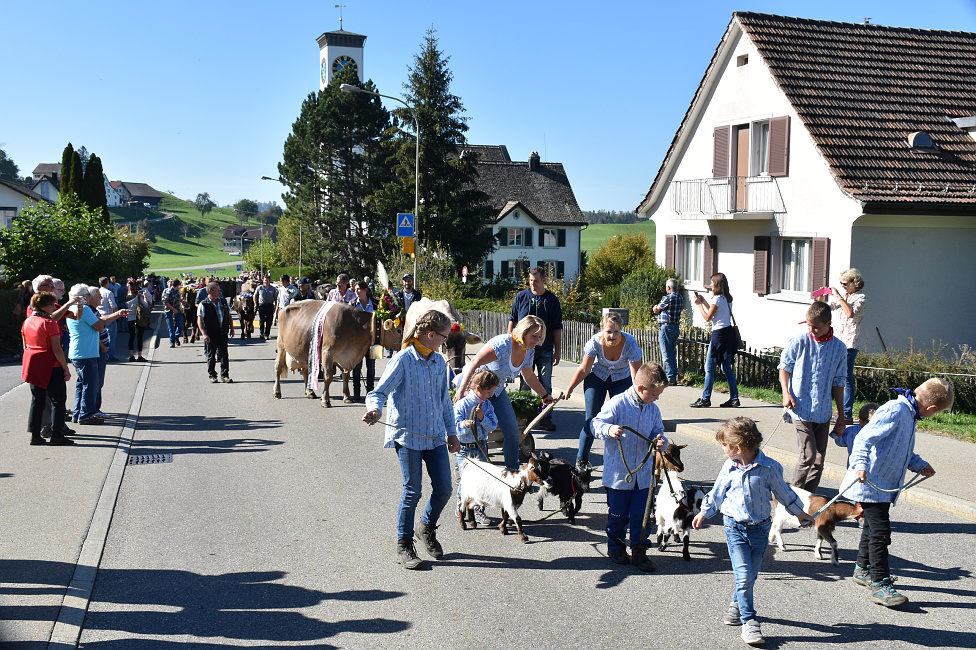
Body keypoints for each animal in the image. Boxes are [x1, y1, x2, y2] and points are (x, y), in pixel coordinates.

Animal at [272, 300, 402, 404]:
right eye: (399, 330)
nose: (404, 345)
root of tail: (284, 308)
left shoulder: (347, 357)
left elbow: (346, 376)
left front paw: (347, 397)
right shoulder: (327, 352)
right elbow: (328, 377)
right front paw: (325, 400)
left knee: (305, 371)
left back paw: (310, 392)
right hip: (281, 345)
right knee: (278, 367)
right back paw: (277, 392)